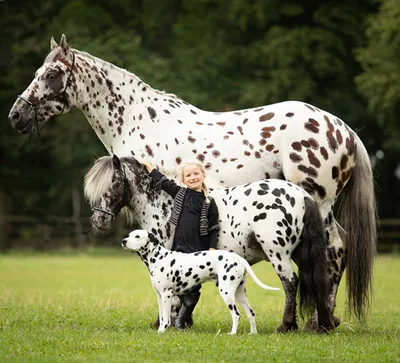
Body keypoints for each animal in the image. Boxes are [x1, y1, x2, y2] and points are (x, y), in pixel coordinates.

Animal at [85, 154, 338, 332]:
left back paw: (286, 326)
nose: (99, 221)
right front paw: (182, 322)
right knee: (318, 280)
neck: (164, 203)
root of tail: (301, 195)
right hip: (298, 253)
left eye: (116, 183)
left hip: (278, 254)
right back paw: (323, 324)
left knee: (290, 283)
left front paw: (167, 323)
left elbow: (175, 296)